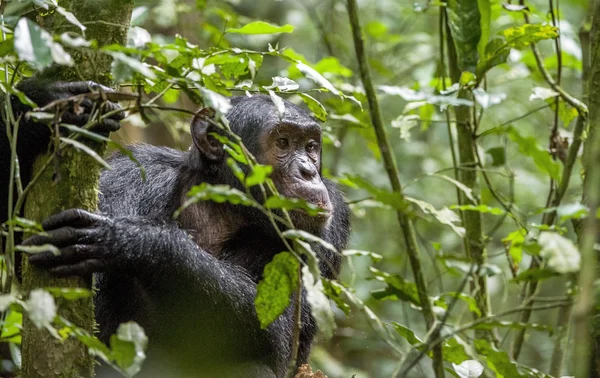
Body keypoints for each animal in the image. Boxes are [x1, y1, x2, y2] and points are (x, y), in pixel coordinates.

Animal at [0, 78, 350, 376]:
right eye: (283, 142)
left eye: (310, 146)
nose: (307, 172)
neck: (220, 206)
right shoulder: (126, 175)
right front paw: (41, 102)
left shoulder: (331, 220)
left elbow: (275, 329)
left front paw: (130, 240)